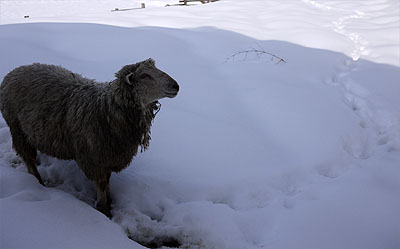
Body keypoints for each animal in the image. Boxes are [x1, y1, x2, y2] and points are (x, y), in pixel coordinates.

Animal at [0, 59, 179, 217]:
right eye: (144, 76)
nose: (176, 86)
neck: (106, 109)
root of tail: (14, 71)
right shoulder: (95, 158)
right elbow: (102, 183)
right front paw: (104, 209)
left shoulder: (108, 157)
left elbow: (107, 180)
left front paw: (110, 200)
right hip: (17, 128)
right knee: (27, 158)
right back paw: (38, 183)